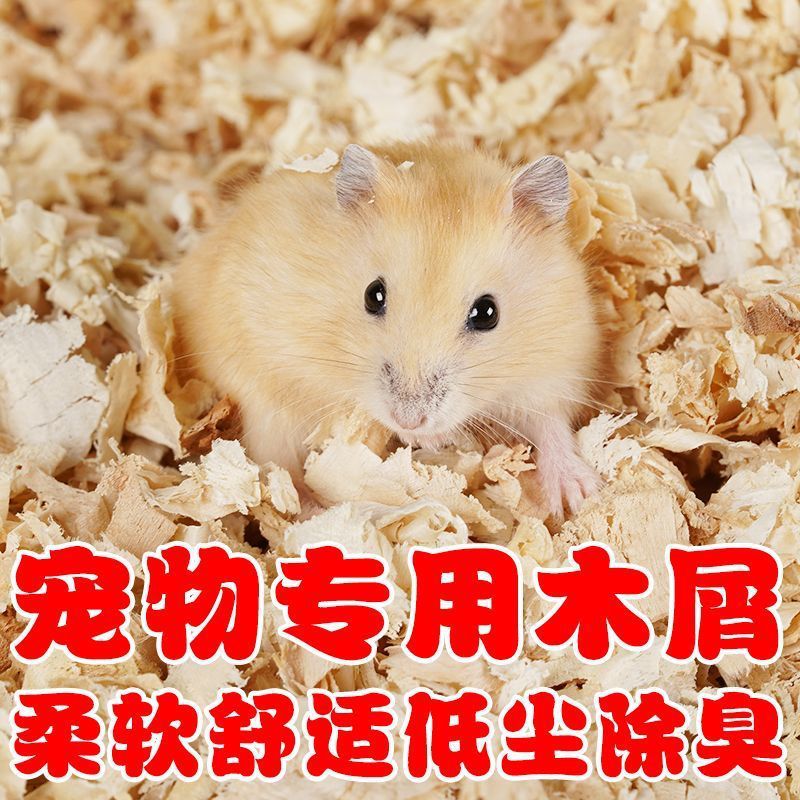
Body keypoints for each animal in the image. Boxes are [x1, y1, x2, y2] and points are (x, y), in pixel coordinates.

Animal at [173, 142, 602, 517]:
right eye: (372, 295)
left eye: (487, 313)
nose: (408, 420)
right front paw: (429, 439)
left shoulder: (554, 365)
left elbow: (550, 424)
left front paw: (579, 496)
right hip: (261, 401)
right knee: (278, 469)